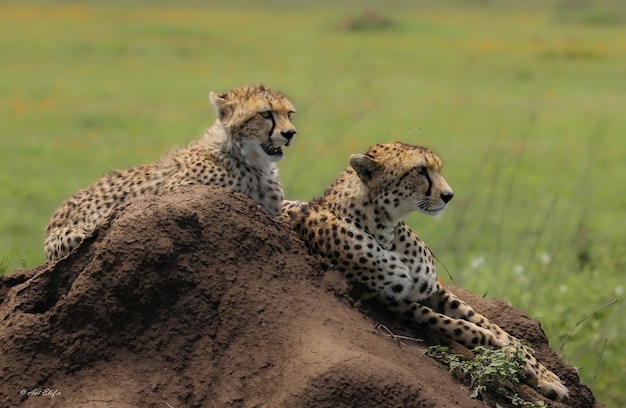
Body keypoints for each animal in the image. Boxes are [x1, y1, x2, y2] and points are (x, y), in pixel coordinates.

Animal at [280, 142, 568, 400]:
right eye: (420, 170)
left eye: (438, 168)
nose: (449, 195)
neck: (385, 228)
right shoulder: (392, 300)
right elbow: (455, 325)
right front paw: (496, 346)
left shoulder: (433, 289)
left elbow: (491, 324)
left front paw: (541, 372)